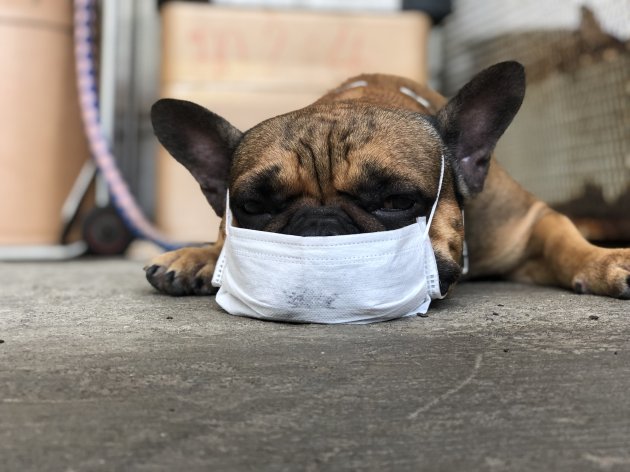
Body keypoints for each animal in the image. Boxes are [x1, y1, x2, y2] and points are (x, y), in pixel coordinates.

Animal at [146, 60, 630, 300]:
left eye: (396, 201)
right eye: (253, 207)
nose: (318, 231)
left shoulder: (526, 222)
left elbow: (564, 239)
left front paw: (606, 262)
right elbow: (221, 241)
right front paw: (197, 256)